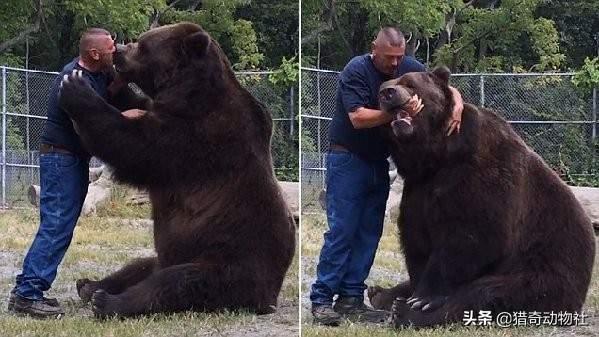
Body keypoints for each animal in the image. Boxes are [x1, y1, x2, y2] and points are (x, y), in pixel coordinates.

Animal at [57, 22, 296, 316]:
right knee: (141, 265)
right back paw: (90, 285)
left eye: (143, 44)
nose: (118, 51)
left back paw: (108, 301)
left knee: (178, 282)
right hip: (174, 256)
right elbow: (136, 107)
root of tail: (271, 295)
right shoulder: (168, 112)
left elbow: (136, 146)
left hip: (230, 260)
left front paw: (76, 88)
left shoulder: (199, 137)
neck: (188, 94)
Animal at [368, 67, 596, 326]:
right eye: (382, 87)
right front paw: (412, 292)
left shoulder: (480, 173)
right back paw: (381, 293)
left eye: (409, 83)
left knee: (486, 293)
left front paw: (422, 299)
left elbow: (471, 236)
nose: (387, 93)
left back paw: (406, 310)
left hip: (544, 268)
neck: (437, 156)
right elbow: (417, 237)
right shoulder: (419, 188)